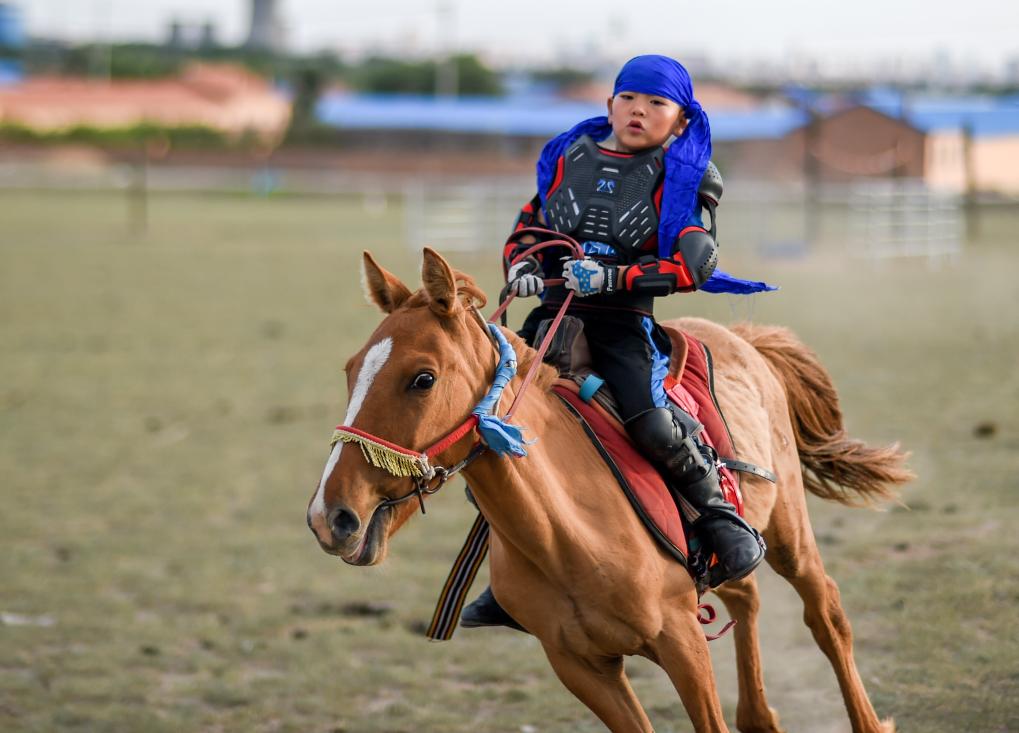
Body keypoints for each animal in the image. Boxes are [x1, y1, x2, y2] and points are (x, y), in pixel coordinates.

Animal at [305, 247, 913, 733]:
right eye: (351, 371)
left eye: (423, 378)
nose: (329, 516)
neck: (567, 536)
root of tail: (743, 338)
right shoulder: (581, 668)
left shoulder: (682, 641)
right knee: (746, 595)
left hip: (788, 528)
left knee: (825, 612)